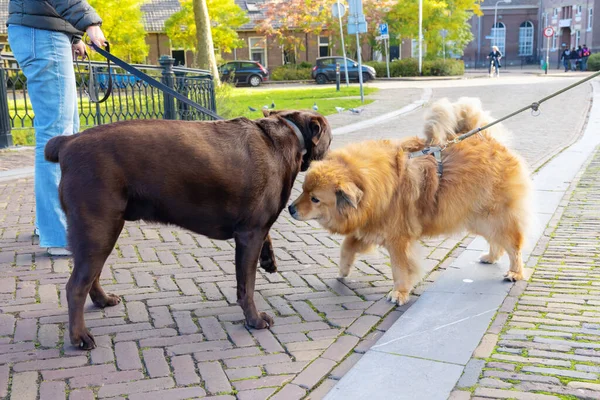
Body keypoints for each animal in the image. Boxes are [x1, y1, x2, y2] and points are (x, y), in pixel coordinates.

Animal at [44, 110, 330, 350]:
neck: (288, 133)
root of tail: (68, 142)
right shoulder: (250, 232)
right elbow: (246, 286)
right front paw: (254, 319)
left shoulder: (254, 229)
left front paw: (269, 259)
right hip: (98, 227)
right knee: (76, 286)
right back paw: (80, 336)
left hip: (100, 230)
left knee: (91, 275)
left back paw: (102, 300)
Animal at [288, 97, 532, 304]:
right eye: (302, 190)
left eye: (315, 199)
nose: (290, 208)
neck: (373, 185)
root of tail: (489, 140)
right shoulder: (370, 227)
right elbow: (347, 246)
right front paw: (343, 270)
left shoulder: (397, 239)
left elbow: (400, 269)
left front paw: (399, 293)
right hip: (477, 218)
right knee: (497, 241)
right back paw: (491, 257)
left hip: (494, 217)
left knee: (514, 245)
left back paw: (515, 272)